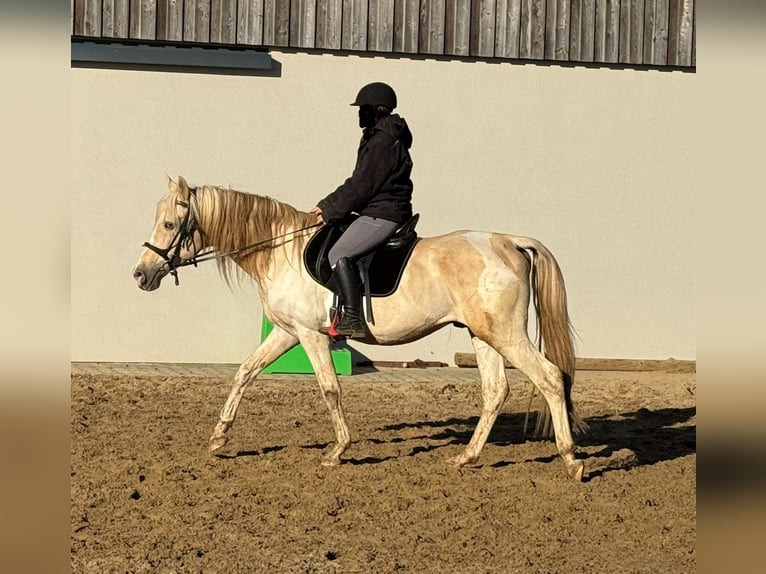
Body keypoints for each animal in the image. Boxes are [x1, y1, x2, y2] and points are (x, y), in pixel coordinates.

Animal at [134, 177, 588, 482]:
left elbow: (329, 388)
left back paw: (571, 460)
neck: (279, 250)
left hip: (507, 335)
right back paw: (466, 457)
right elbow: (244, 373)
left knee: (550, 378)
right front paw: (218, 439)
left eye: (170, 225)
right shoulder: (286, 332)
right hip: (483, 334)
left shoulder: (311, 335)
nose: (141, 274)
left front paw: (337, 450)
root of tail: (510, 241)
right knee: (496, 390)